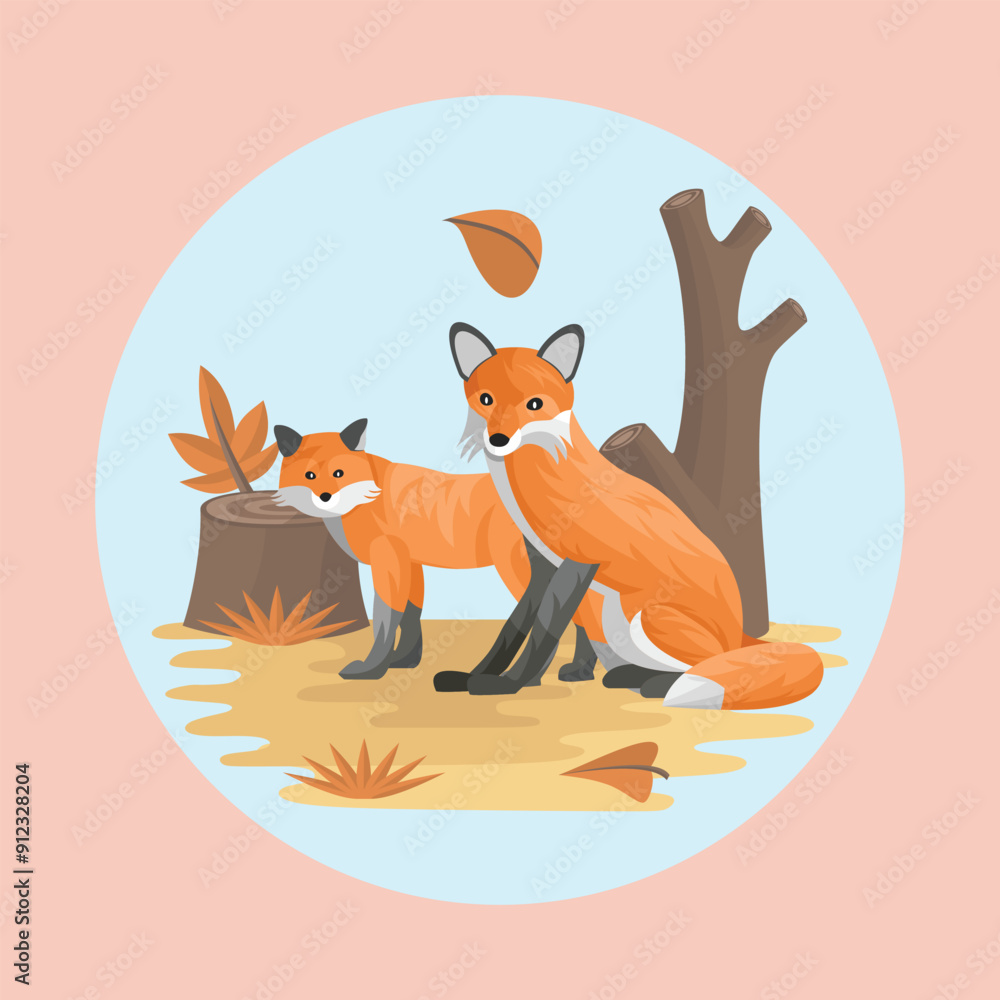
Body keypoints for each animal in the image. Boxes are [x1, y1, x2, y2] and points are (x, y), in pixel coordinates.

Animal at [272, 418, 598, 682]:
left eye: (339, 474)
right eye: (309, 477)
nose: (325, 497)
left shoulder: (387, 559)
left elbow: (385, 618)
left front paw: (373, 669)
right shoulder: (410, 562)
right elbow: (411, 614)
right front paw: (404, 660)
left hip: (514, 568)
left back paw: (530, 678)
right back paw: (580, 670)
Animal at [447, 322, 825, 711]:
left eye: (534, 404)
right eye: (486, 399)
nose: (499, 439)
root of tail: (742, 634)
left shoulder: (579, 561)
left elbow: (545, 631)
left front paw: (507, 685)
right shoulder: (543, 566)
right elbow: (513, 628)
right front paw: (472, 677)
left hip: (645, 619)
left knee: (705, 666)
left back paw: (649, 683)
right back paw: (623, 676)